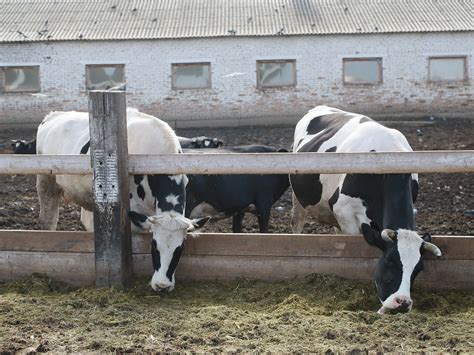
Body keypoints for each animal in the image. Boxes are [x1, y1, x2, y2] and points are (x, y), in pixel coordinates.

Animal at [35, 108, 209, 292]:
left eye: (180, 249)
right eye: (154, 246)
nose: (162, 286)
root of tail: (54, 114)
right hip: (46, 182)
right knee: (48, 220)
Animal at [290, 105, 442, 314]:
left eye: (418, 269)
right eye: (390, 261)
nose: (403, 302)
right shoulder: (344, 212)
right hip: (298, 198)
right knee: (297, 222)